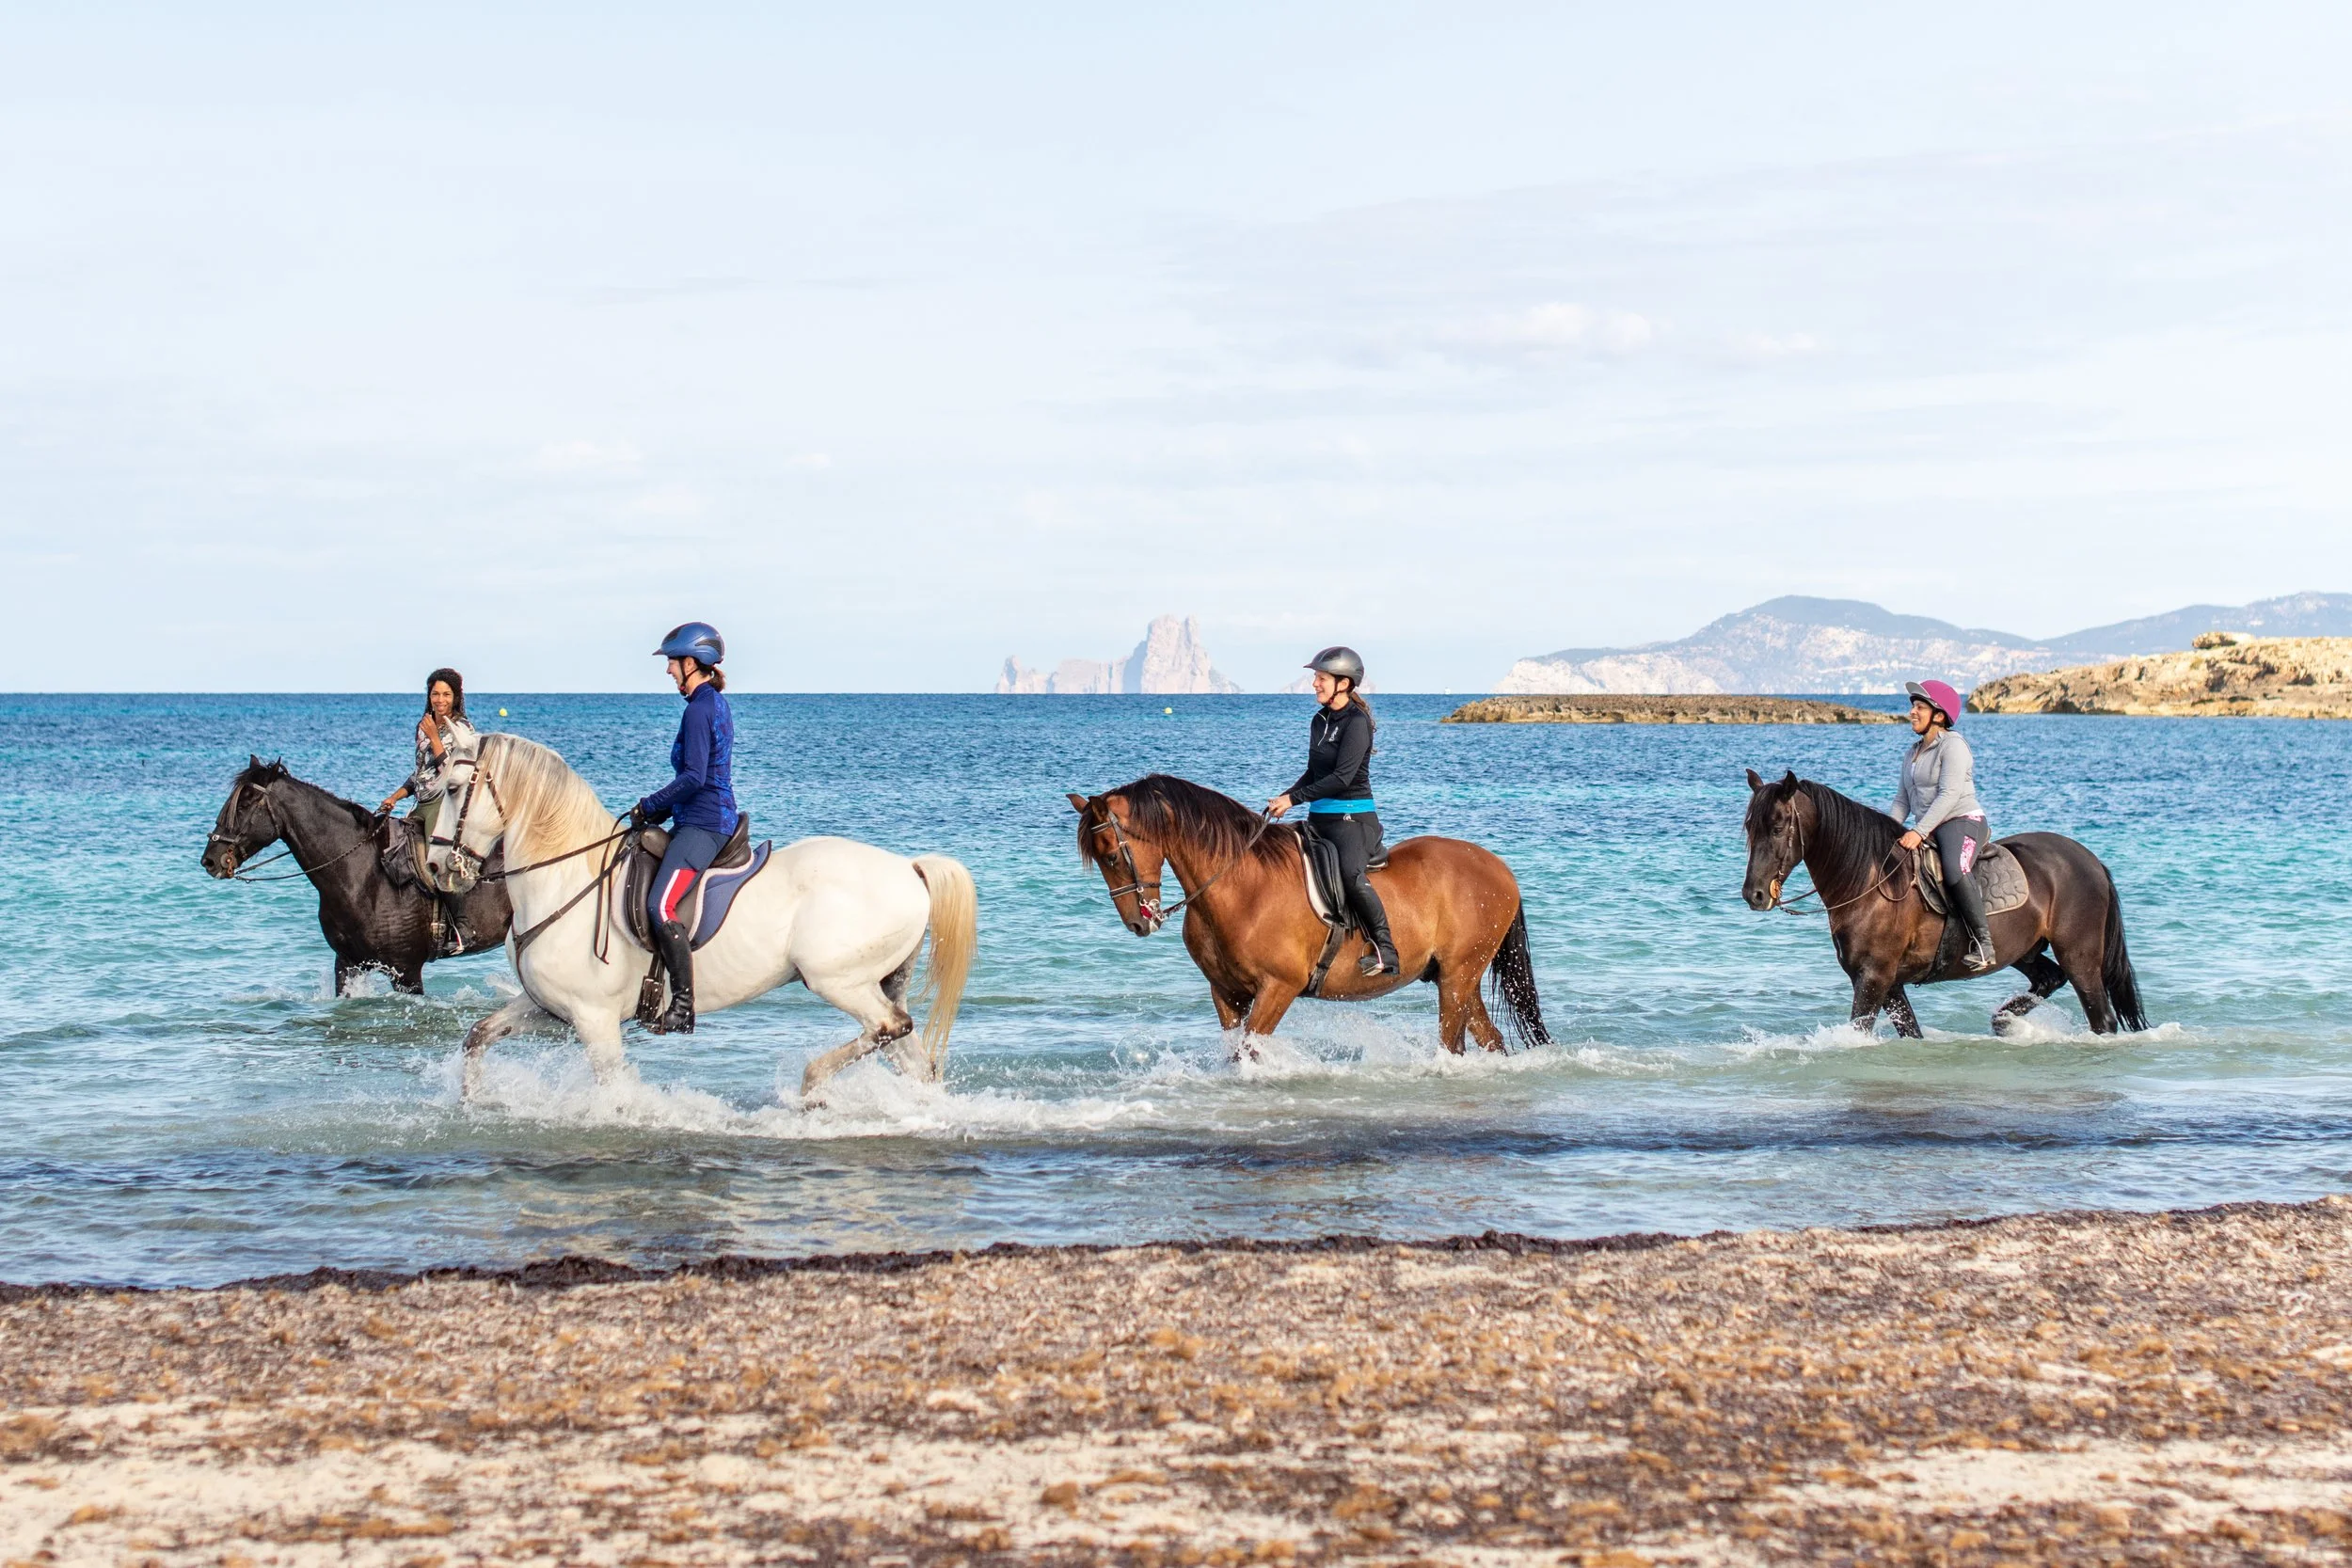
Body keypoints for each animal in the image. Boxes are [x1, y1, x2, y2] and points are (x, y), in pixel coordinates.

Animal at [423, 733, 977, 1101]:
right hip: (879, 982)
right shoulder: (550, 1008)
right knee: (910, 1053)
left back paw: (812, 1085)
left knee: (890, 1027)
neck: (565, 880)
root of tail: (908, 868)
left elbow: (616, 1094)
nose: (433, 866)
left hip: (838, 980)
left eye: (452, 788)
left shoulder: (594, 1021)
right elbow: (478, 1036)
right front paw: (472, 1105)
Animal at [1068, 774, 1549, 1057]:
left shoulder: (1278, 988)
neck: (1241, 884)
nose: (1139, 923)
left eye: (1111, 855)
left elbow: (1248, 1052)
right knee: (1489, 1040)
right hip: (1457, 977)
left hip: (1459, 974)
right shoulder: (1226, 993)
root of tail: (1501, 869)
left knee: (1453, 1044)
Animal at [1740, 768, 2147, 1036]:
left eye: (1777, 827)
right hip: (2026, 950)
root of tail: (2091, 862)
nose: (1754, 895)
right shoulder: (1888, 983)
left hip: (2080, 956)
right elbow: (1911, 1032)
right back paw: (2006, 1018)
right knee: (2049, 978)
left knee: (2100, 1017)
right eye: (1748, 828)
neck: (1870, 882)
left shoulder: (1873, 978)